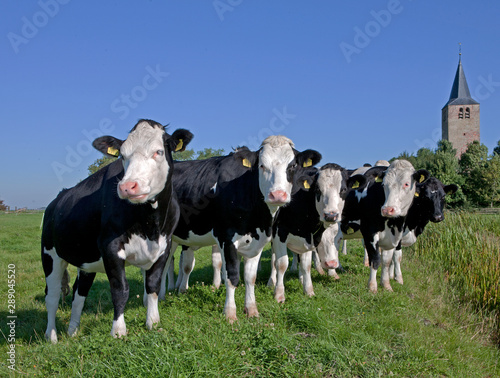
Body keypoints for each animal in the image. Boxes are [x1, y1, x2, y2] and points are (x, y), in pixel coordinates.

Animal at [41, 119, 192, 342]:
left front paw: (153, 323)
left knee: (79, 294)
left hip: (85, 261)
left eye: (158, 151)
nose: (128, 186)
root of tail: (55, 201)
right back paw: (51, 336)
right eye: (122, 155)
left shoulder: (164, 245)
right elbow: (120, 289)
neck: (150, 225)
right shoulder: (110, 247)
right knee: (51, 296)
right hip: (50, 254)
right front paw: (118, 330)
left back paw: (73, 331)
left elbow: (153, 285)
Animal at [162, 137, 322, 322]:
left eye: (292, 166)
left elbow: (250, 277)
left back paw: (162, 296)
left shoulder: (258, 242)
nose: (277, 195)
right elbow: (232, 276)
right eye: (262, 165)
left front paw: (252, 310)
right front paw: (230, 313)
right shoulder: (226, 239)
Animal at [266, 164, 368, 302]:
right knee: (274, 259)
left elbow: (306, 265)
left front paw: (308, 290)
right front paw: (279, 294)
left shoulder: (308, 237)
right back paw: (271, 282)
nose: (331, 215)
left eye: (343, 190)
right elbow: (281, 264)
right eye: (318, 190)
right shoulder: (279, 232)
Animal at [336, 159, 430, 292]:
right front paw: (372, 286)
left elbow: (387, 261)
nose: (387, 209)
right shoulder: (369, 233)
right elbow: (375, 259)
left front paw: (386, 285)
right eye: (384, 184)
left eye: (406, 184)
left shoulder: (392, 238)